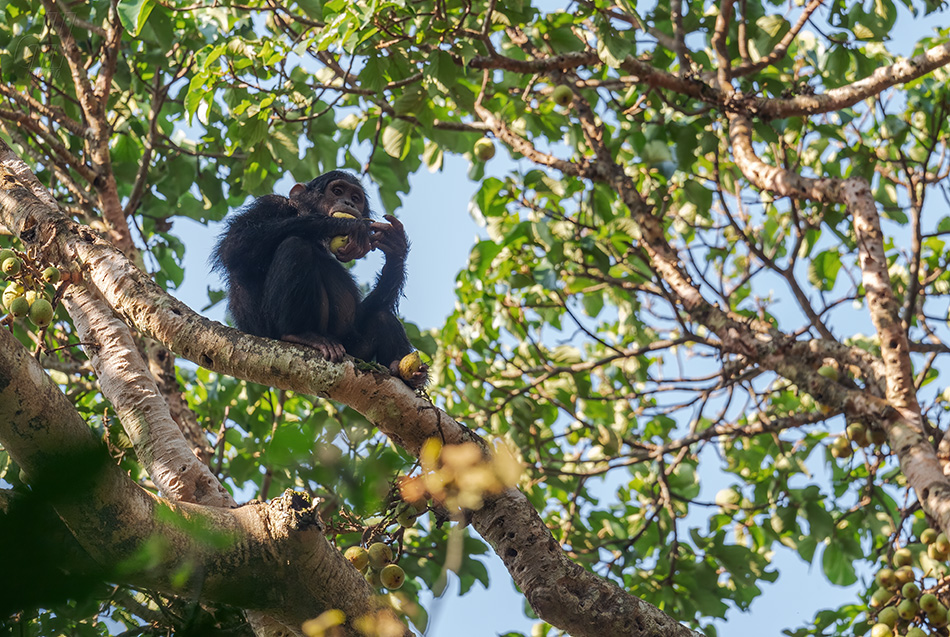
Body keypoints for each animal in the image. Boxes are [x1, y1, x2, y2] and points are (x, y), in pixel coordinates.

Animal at [214, 170, 430, 388]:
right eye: (337, 191)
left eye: (355, 198)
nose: (348, 203)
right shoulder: (271, 203)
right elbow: (235, 244)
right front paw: (345, 224)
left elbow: (364, 311)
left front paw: (396, 247)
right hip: (267, 333)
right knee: (294, 245)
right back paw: (300, 334)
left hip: (352, 349)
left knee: (382, 317)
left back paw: (406, 373)